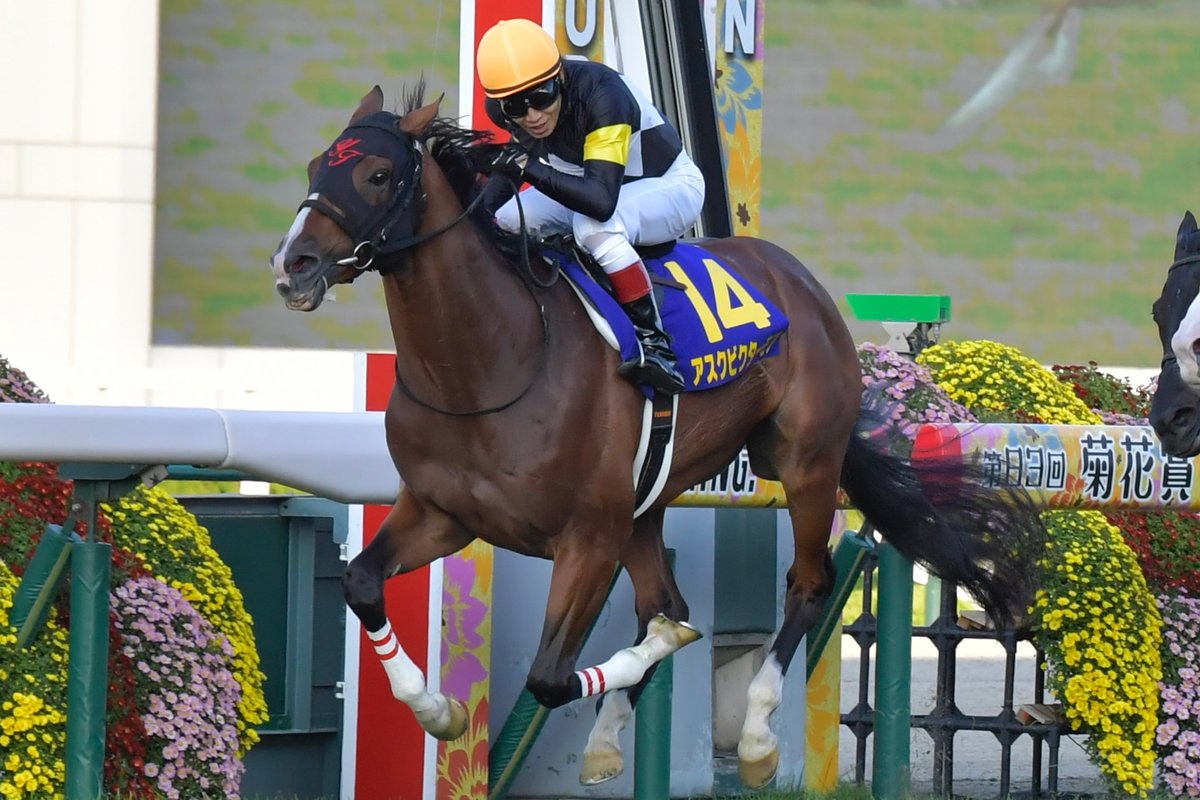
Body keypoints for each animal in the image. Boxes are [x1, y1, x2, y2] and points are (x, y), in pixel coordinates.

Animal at [269, 84, 1045, 788]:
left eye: (376, 175)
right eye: (313, 167)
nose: (293, 265)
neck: (491, 362)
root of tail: (801, 282)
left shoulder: (586, 536)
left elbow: (553, 676)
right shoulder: (444, 513)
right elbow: (362, 582)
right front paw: (439, 709)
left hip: (804, 463)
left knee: (805, 584)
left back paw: (756, 736)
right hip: (647, 502)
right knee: (663, 599)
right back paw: (606, 740)